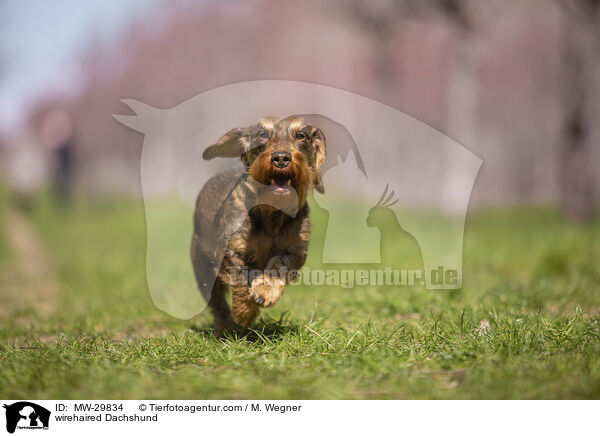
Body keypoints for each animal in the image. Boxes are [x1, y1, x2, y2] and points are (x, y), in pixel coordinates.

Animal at [190, 115, 326, 334]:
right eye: (263, 134)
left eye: (300, 135)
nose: (281, 158)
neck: (270, 211)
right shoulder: (228, 251)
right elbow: (240, 276)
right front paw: (246, 311)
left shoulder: (296, 252)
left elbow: (277, 264)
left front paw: (265, 291)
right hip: (203, 268)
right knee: (218, 305)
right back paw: (225, 328)